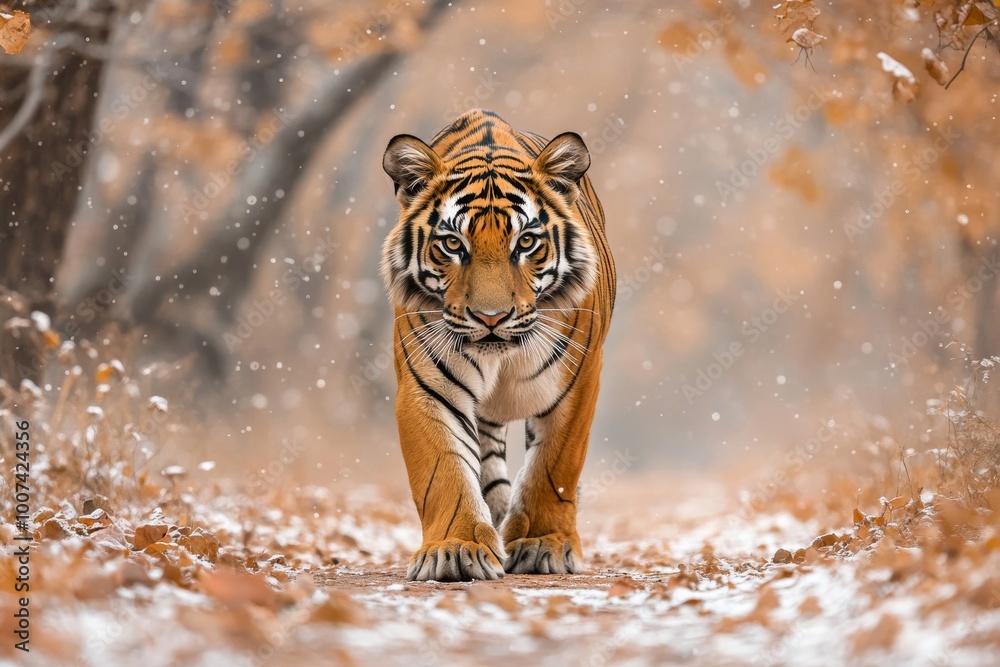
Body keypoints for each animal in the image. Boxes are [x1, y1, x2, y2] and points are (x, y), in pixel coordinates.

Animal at [380, 108, 616, 581]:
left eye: (526, 242)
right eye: (453, 244)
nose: (491, 318)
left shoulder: (578, 380)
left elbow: (555, 466)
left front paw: (545, 544)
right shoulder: (427, 385)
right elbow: (445, 469)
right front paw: (455, 550)